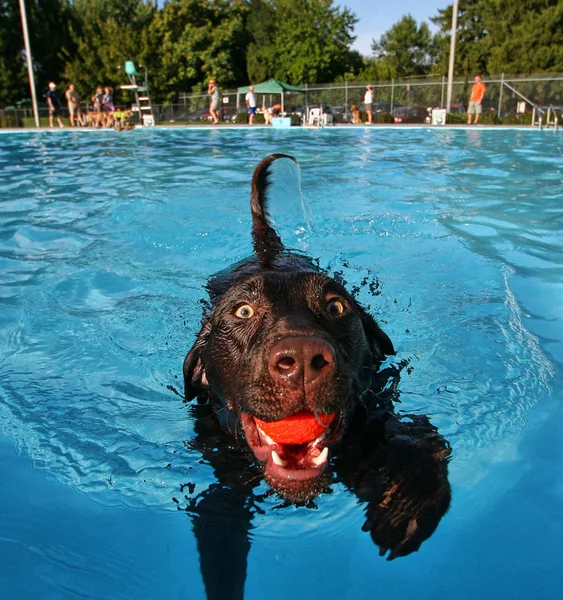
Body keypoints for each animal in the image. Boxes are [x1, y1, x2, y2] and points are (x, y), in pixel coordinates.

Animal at [183, 156, 452, 600]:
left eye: (336, 306)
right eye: (242, 311)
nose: (303, 359)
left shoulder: (376, 411)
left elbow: (419, 443)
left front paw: (403, 506)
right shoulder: (221, 473)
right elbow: (219, 544)